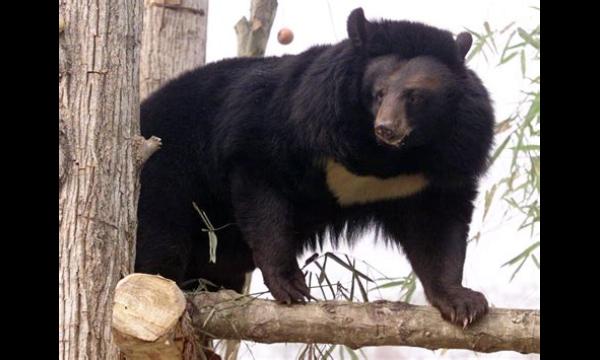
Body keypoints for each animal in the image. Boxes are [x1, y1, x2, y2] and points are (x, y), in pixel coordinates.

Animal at [135, 7, 492, 330]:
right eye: (378, 93)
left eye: (415, 96)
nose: (387, 128)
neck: (383, 156)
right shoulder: (287, 125)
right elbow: (264, 195)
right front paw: (291, 286)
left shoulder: (438, 168)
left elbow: (437, 228)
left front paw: (463, 303)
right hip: (168, 174)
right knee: (158, 240)